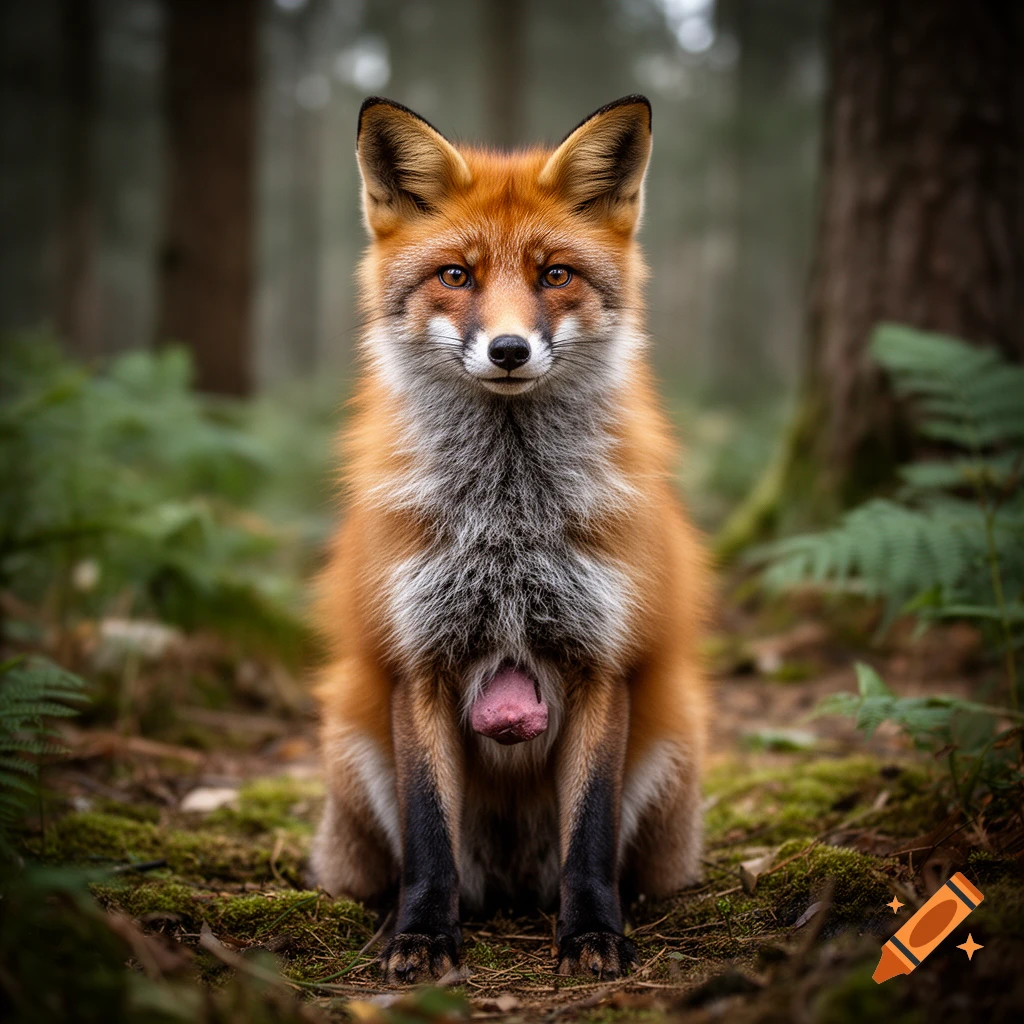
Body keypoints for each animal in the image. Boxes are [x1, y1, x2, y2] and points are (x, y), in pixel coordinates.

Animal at [311, 94, 710, 984]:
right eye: (456, 276)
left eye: (554, 274)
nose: (507, 350)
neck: (509, 521)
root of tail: (514, 888)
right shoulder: (418, 660)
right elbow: (429, 837)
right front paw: (423, 937)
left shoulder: (601, 661)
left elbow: (589, 836)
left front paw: (593, 933)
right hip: (353, 745)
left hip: (673, 738)